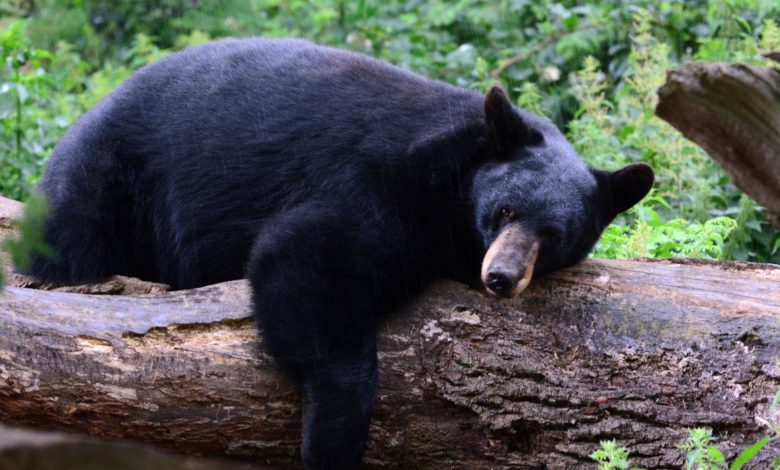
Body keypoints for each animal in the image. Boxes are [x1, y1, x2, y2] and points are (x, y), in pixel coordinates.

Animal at [25, 38, 654, 468]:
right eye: (504, 211)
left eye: (555, 235)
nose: (500, 277)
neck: (451, 177)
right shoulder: (380, 181)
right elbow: (306, 258)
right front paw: (333, 438)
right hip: (108, 179)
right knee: (71, 243)